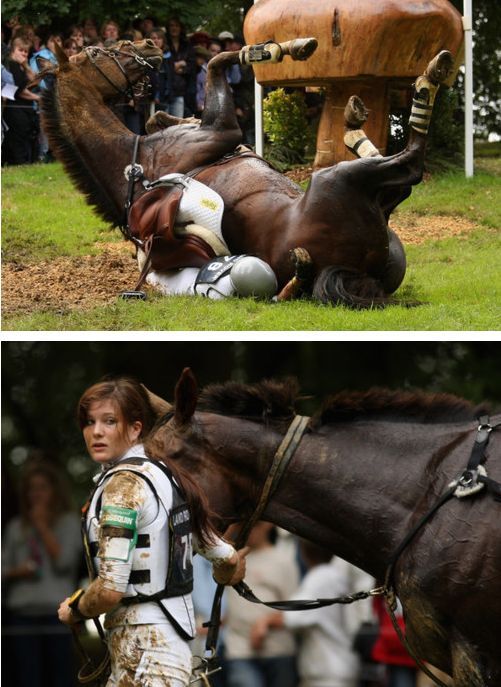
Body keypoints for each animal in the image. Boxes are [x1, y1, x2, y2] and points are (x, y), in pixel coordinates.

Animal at [38, 39, 454, 306]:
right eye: (95, 52)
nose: (148, 44)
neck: (135, 161)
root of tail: (355, 272)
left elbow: (176, 101)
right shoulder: (224, 129)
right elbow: (216, 61)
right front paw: (279, 48)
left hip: (386, 227)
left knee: (394, 179)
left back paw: (356, 124)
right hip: (338, 181)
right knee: (410, 166)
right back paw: (429, 78)